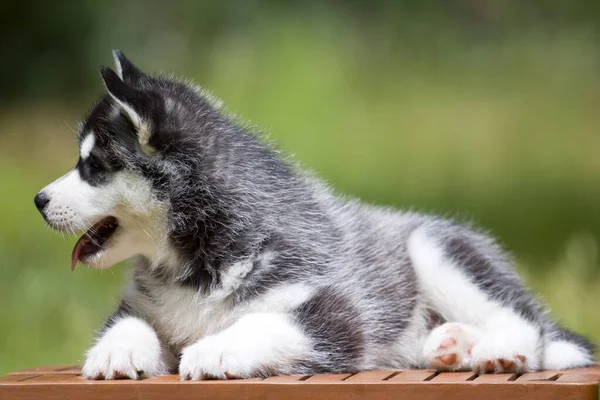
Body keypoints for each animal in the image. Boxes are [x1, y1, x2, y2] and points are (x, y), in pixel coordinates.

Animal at [35, 50, 592, 378]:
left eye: (93, 167)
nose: (38, 201)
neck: (198, 258)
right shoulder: (145, 304)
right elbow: (128, 323)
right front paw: (117, 350)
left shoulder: (335, 312)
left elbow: (262, 325)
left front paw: (214, 350)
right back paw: (449, 344)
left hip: (437, 249)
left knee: (530, 325)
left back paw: (496, 350)